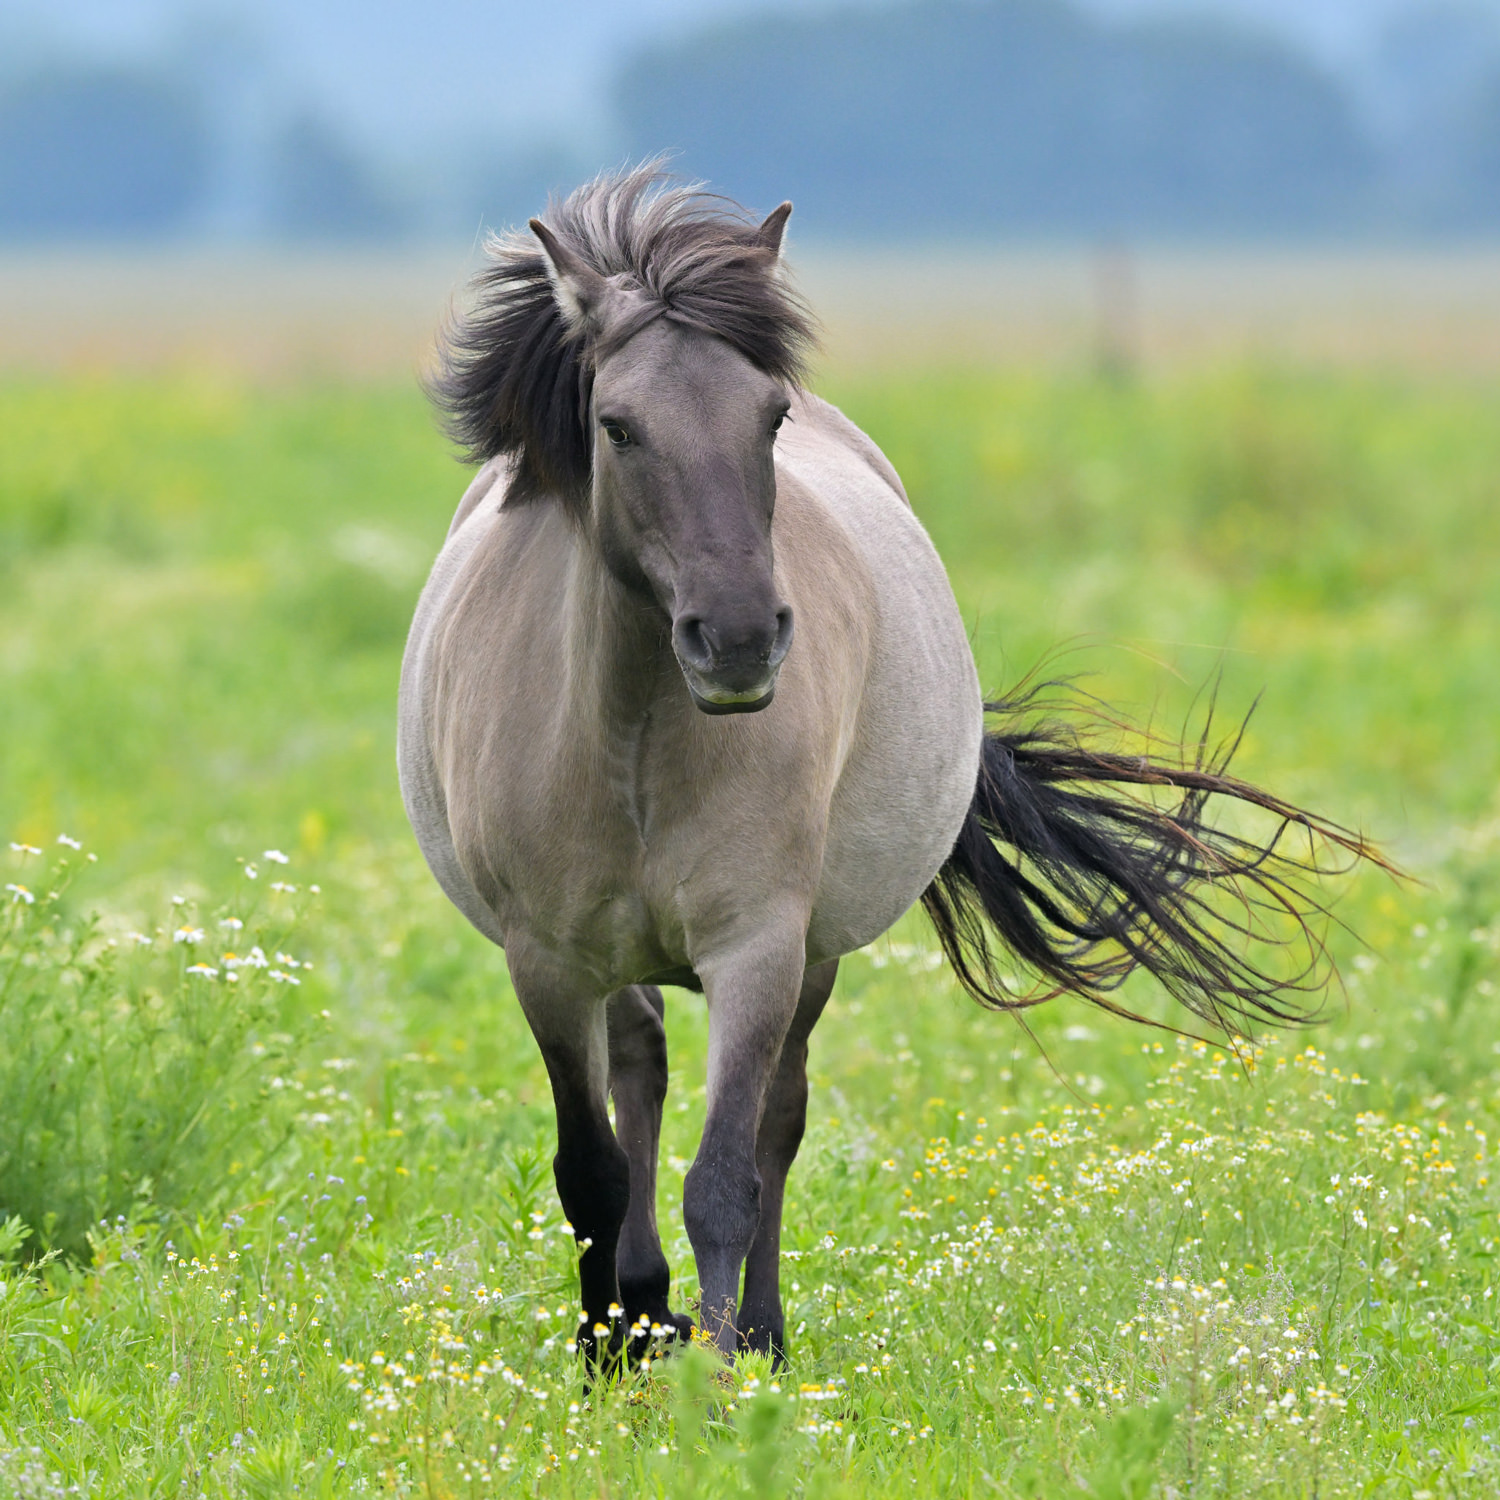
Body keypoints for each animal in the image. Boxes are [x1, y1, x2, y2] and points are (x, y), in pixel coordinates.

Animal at [398, 165, 1379, 1369]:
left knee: (775, 1119)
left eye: (769, 417)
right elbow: (591, 1172)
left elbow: (725, 1178)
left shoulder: (760, 946)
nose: (739, 639)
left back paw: (757, 1334)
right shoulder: (547, 961)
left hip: (812, 951)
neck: (631, 738)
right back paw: (641, 1305)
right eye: (617, 427)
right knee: (642, 1068)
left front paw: (723, 1370)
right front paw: (608, 1351)